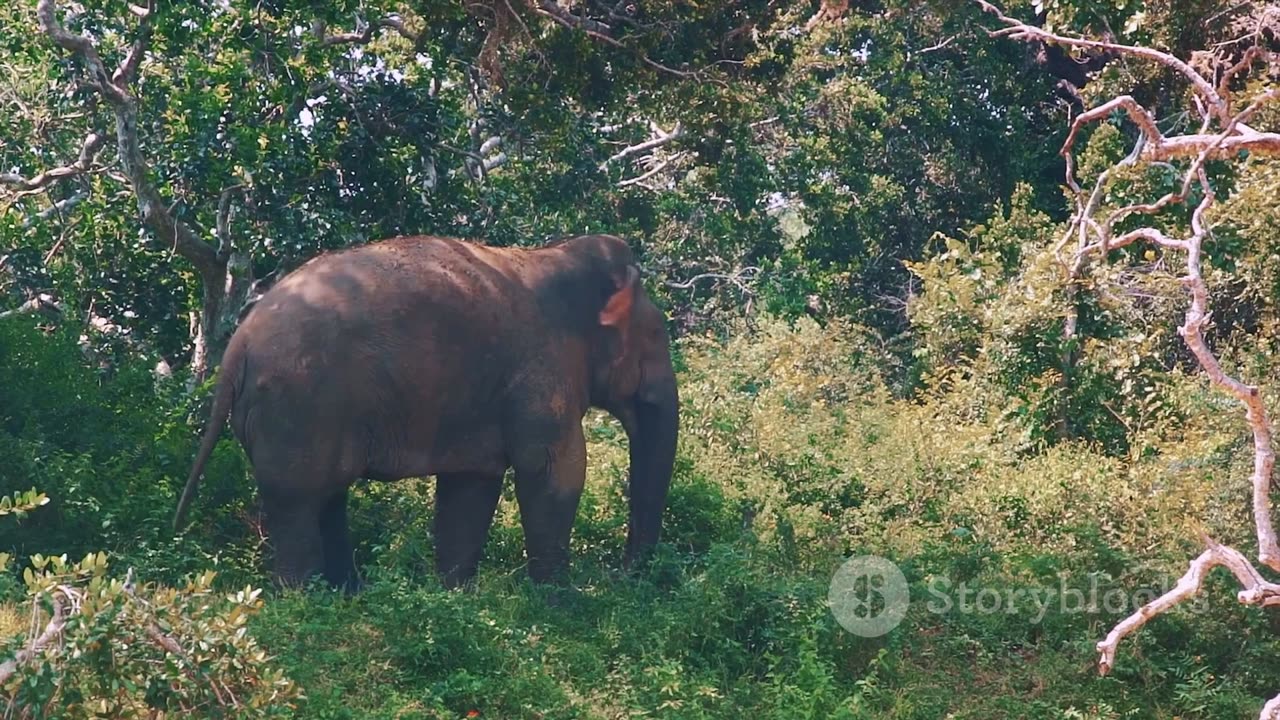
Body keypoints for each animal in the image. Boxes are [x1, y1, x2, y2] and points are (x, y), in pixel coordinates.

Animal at [175, 230, 686, 589]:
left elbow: (471, 486)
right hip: (297, 405)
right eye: (657, 337)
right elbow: (553, 474)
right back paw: (304, 603)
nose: (622, 575)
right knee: (300, 501)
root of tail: (237, 347)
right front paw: (560, 604)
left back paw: (346, 596)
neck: (557, 255)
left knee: (326, 495)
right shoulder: (542, 367)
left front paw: (455, 597)